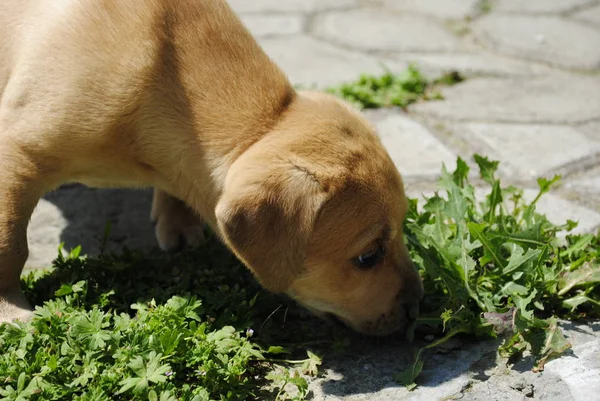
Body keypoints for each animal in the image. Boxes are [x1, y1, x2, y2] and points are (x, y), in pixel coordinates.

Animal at [0, 0, 422, 334]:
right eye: (368, 257)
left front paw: (178, 222)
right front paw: (9, 311)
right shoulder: (17, 153)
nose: (420, 308)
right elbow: (10, 245)